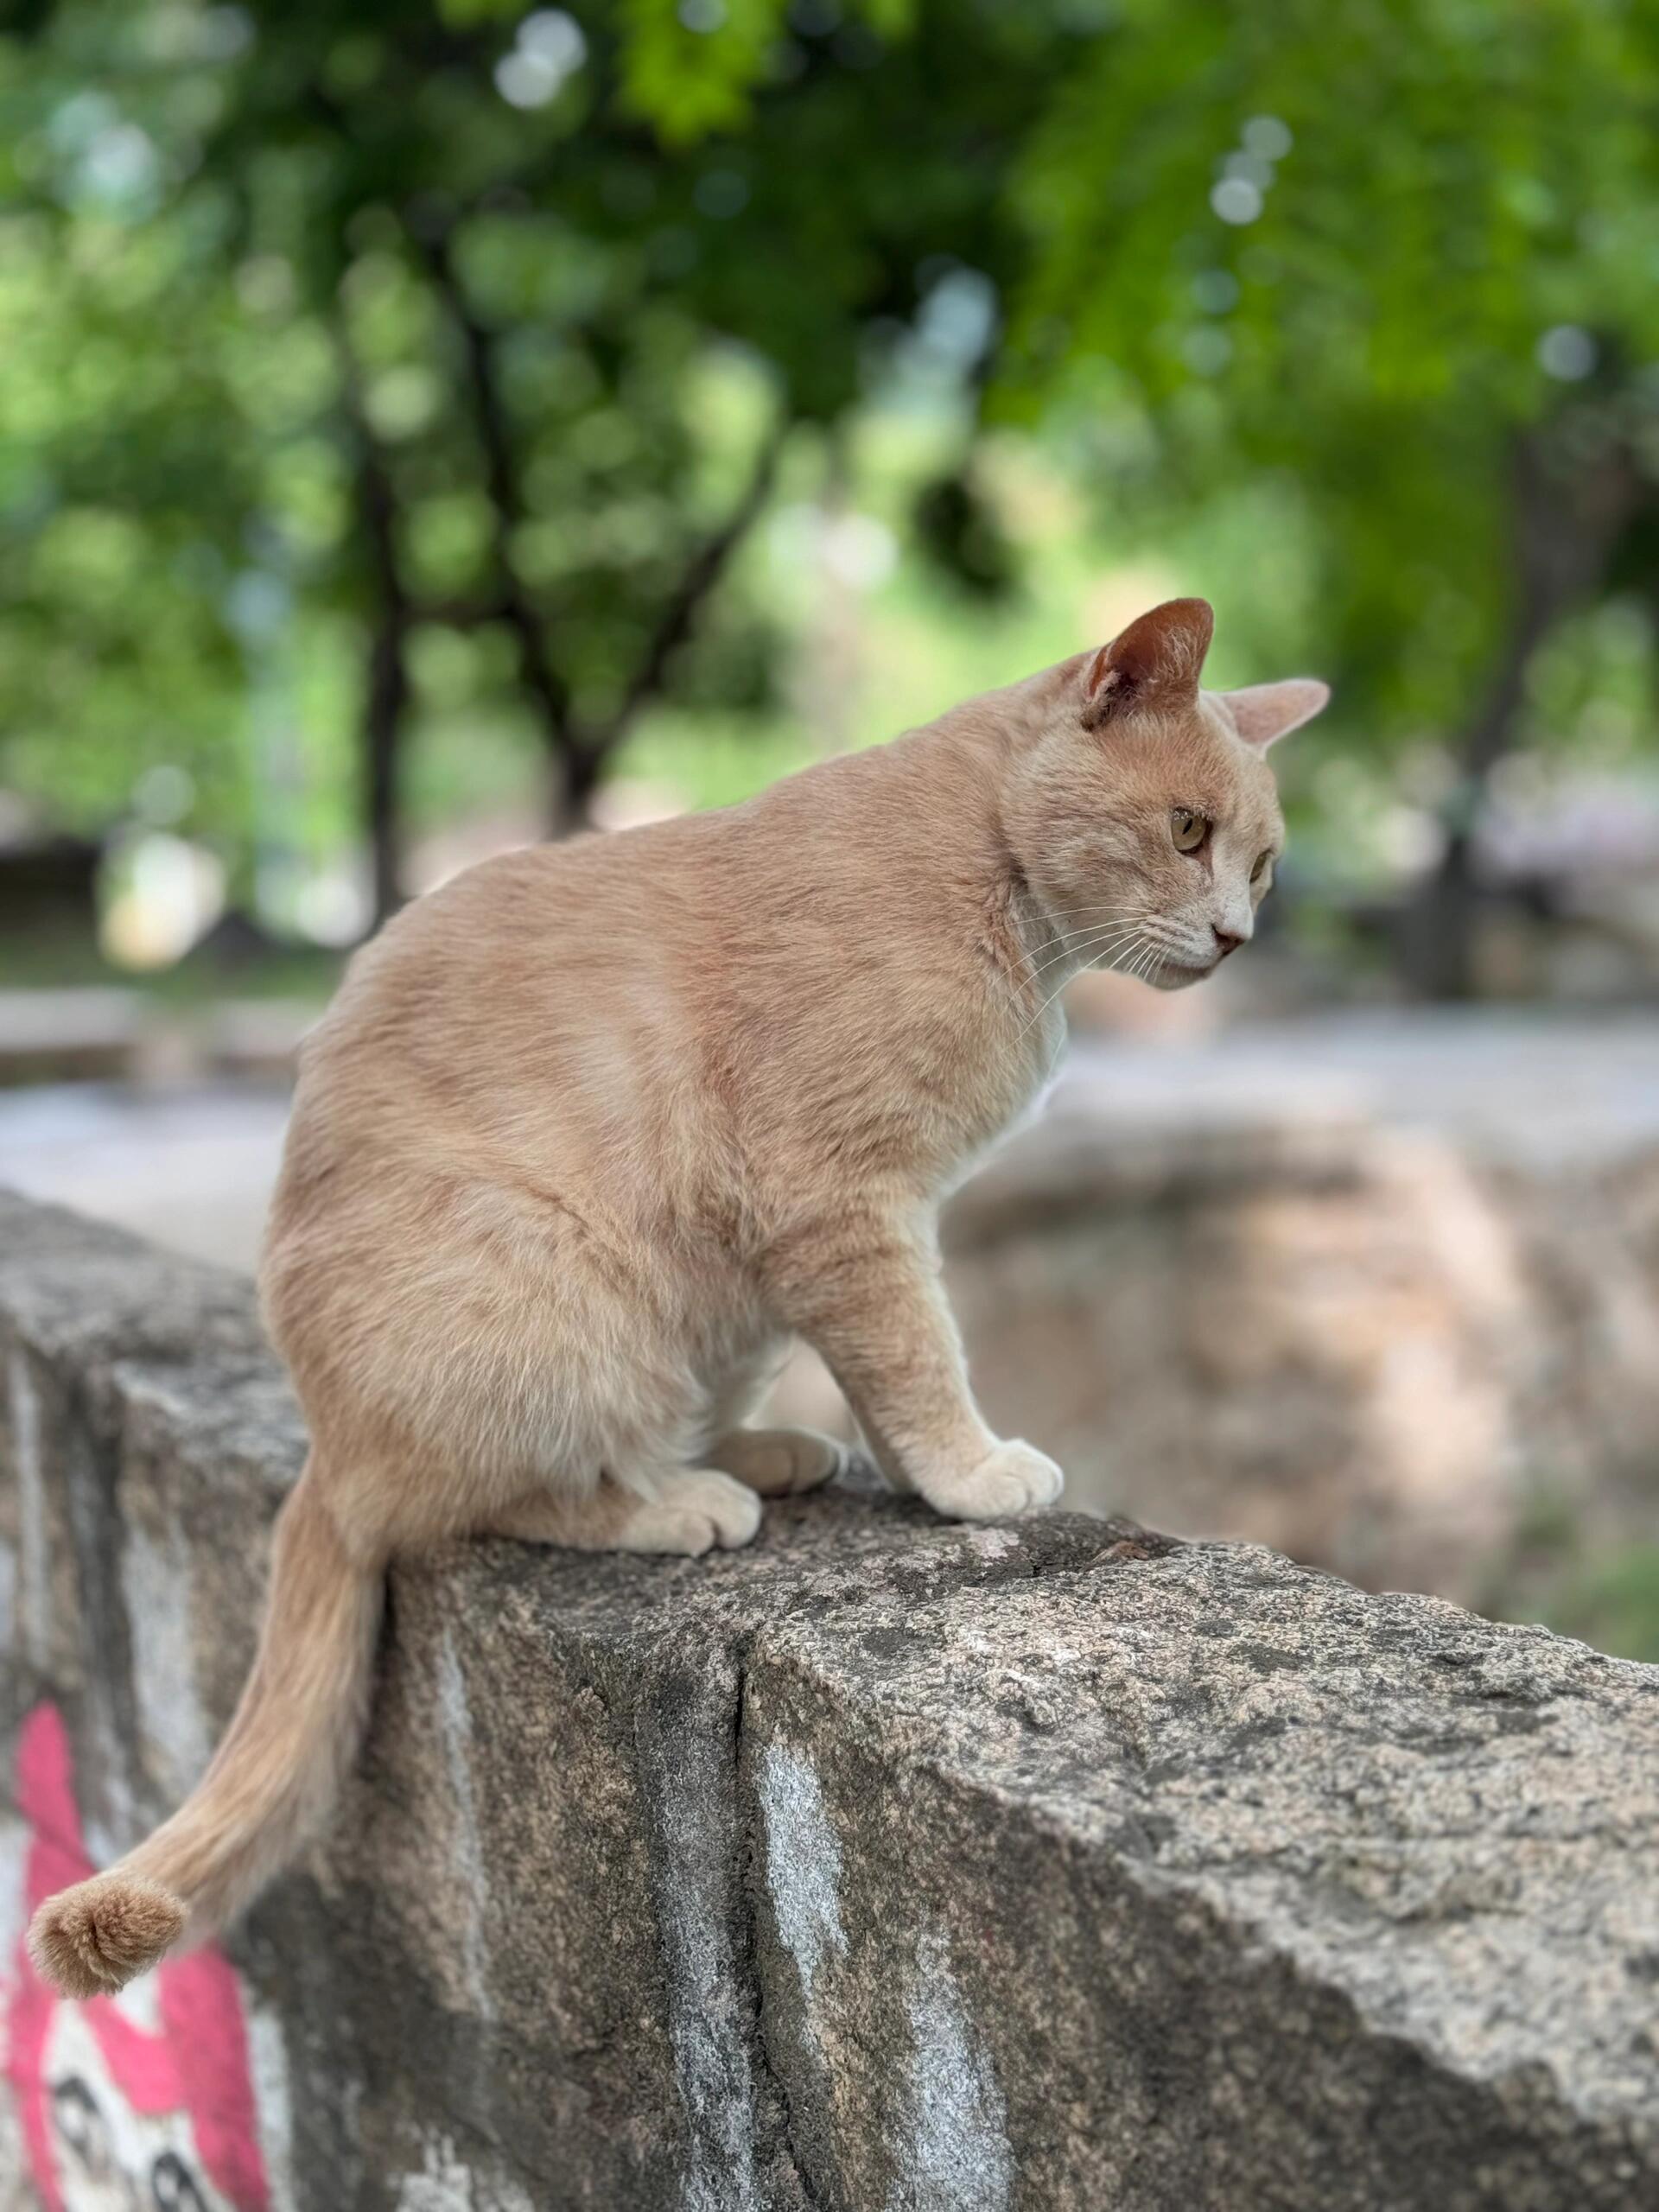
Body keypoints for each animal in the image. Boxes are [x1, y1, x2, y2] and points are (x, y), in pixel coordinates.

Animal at [29, 597, 1327, 1999]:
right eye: (1187, 833)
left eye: (1262, 866)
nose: (1239, 936)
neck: (995, 885)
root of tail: (327, 1448)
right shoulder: (845, 1206)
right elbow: (917, 1358)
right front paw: (971, 1474)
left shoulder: (865, 1226)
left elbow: (896, 1360)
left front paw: (911, 1469)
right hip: (557, 1293)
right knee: (504, 1498)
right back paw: (679, 1501)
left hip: (724, 1320)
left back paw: (757, 1455)